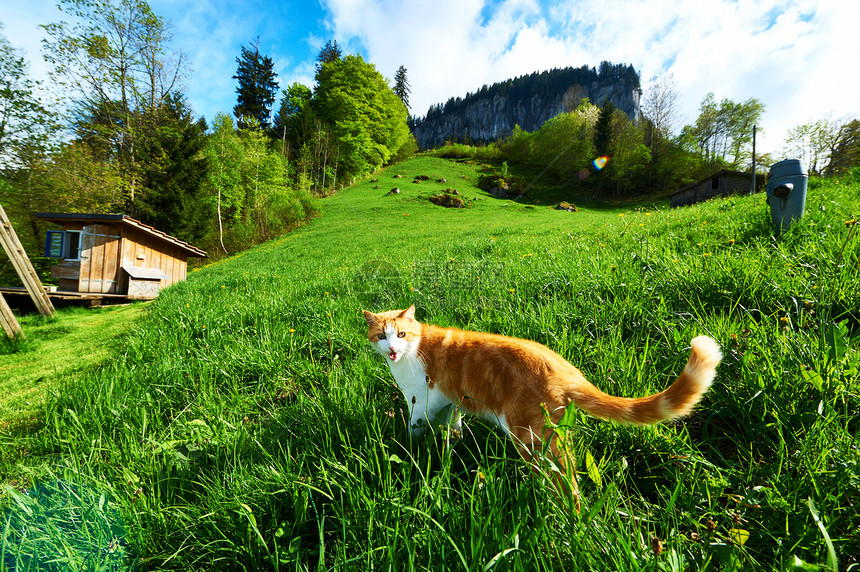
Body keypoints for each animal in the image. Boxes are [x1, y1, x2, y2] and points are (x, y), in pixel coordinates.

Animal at [360, 306, 724, 498]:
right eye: (381, 336)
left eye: (401, 334)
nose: (391, 349)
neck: (414, 349)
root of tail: (564, 369)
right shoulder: (451, 404)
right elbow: (454, 428)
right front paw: (453, 443)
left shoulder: (420, 404)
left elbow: (412, 433)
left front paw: (410, 450)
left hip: (531, 439)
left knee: (567, 486)